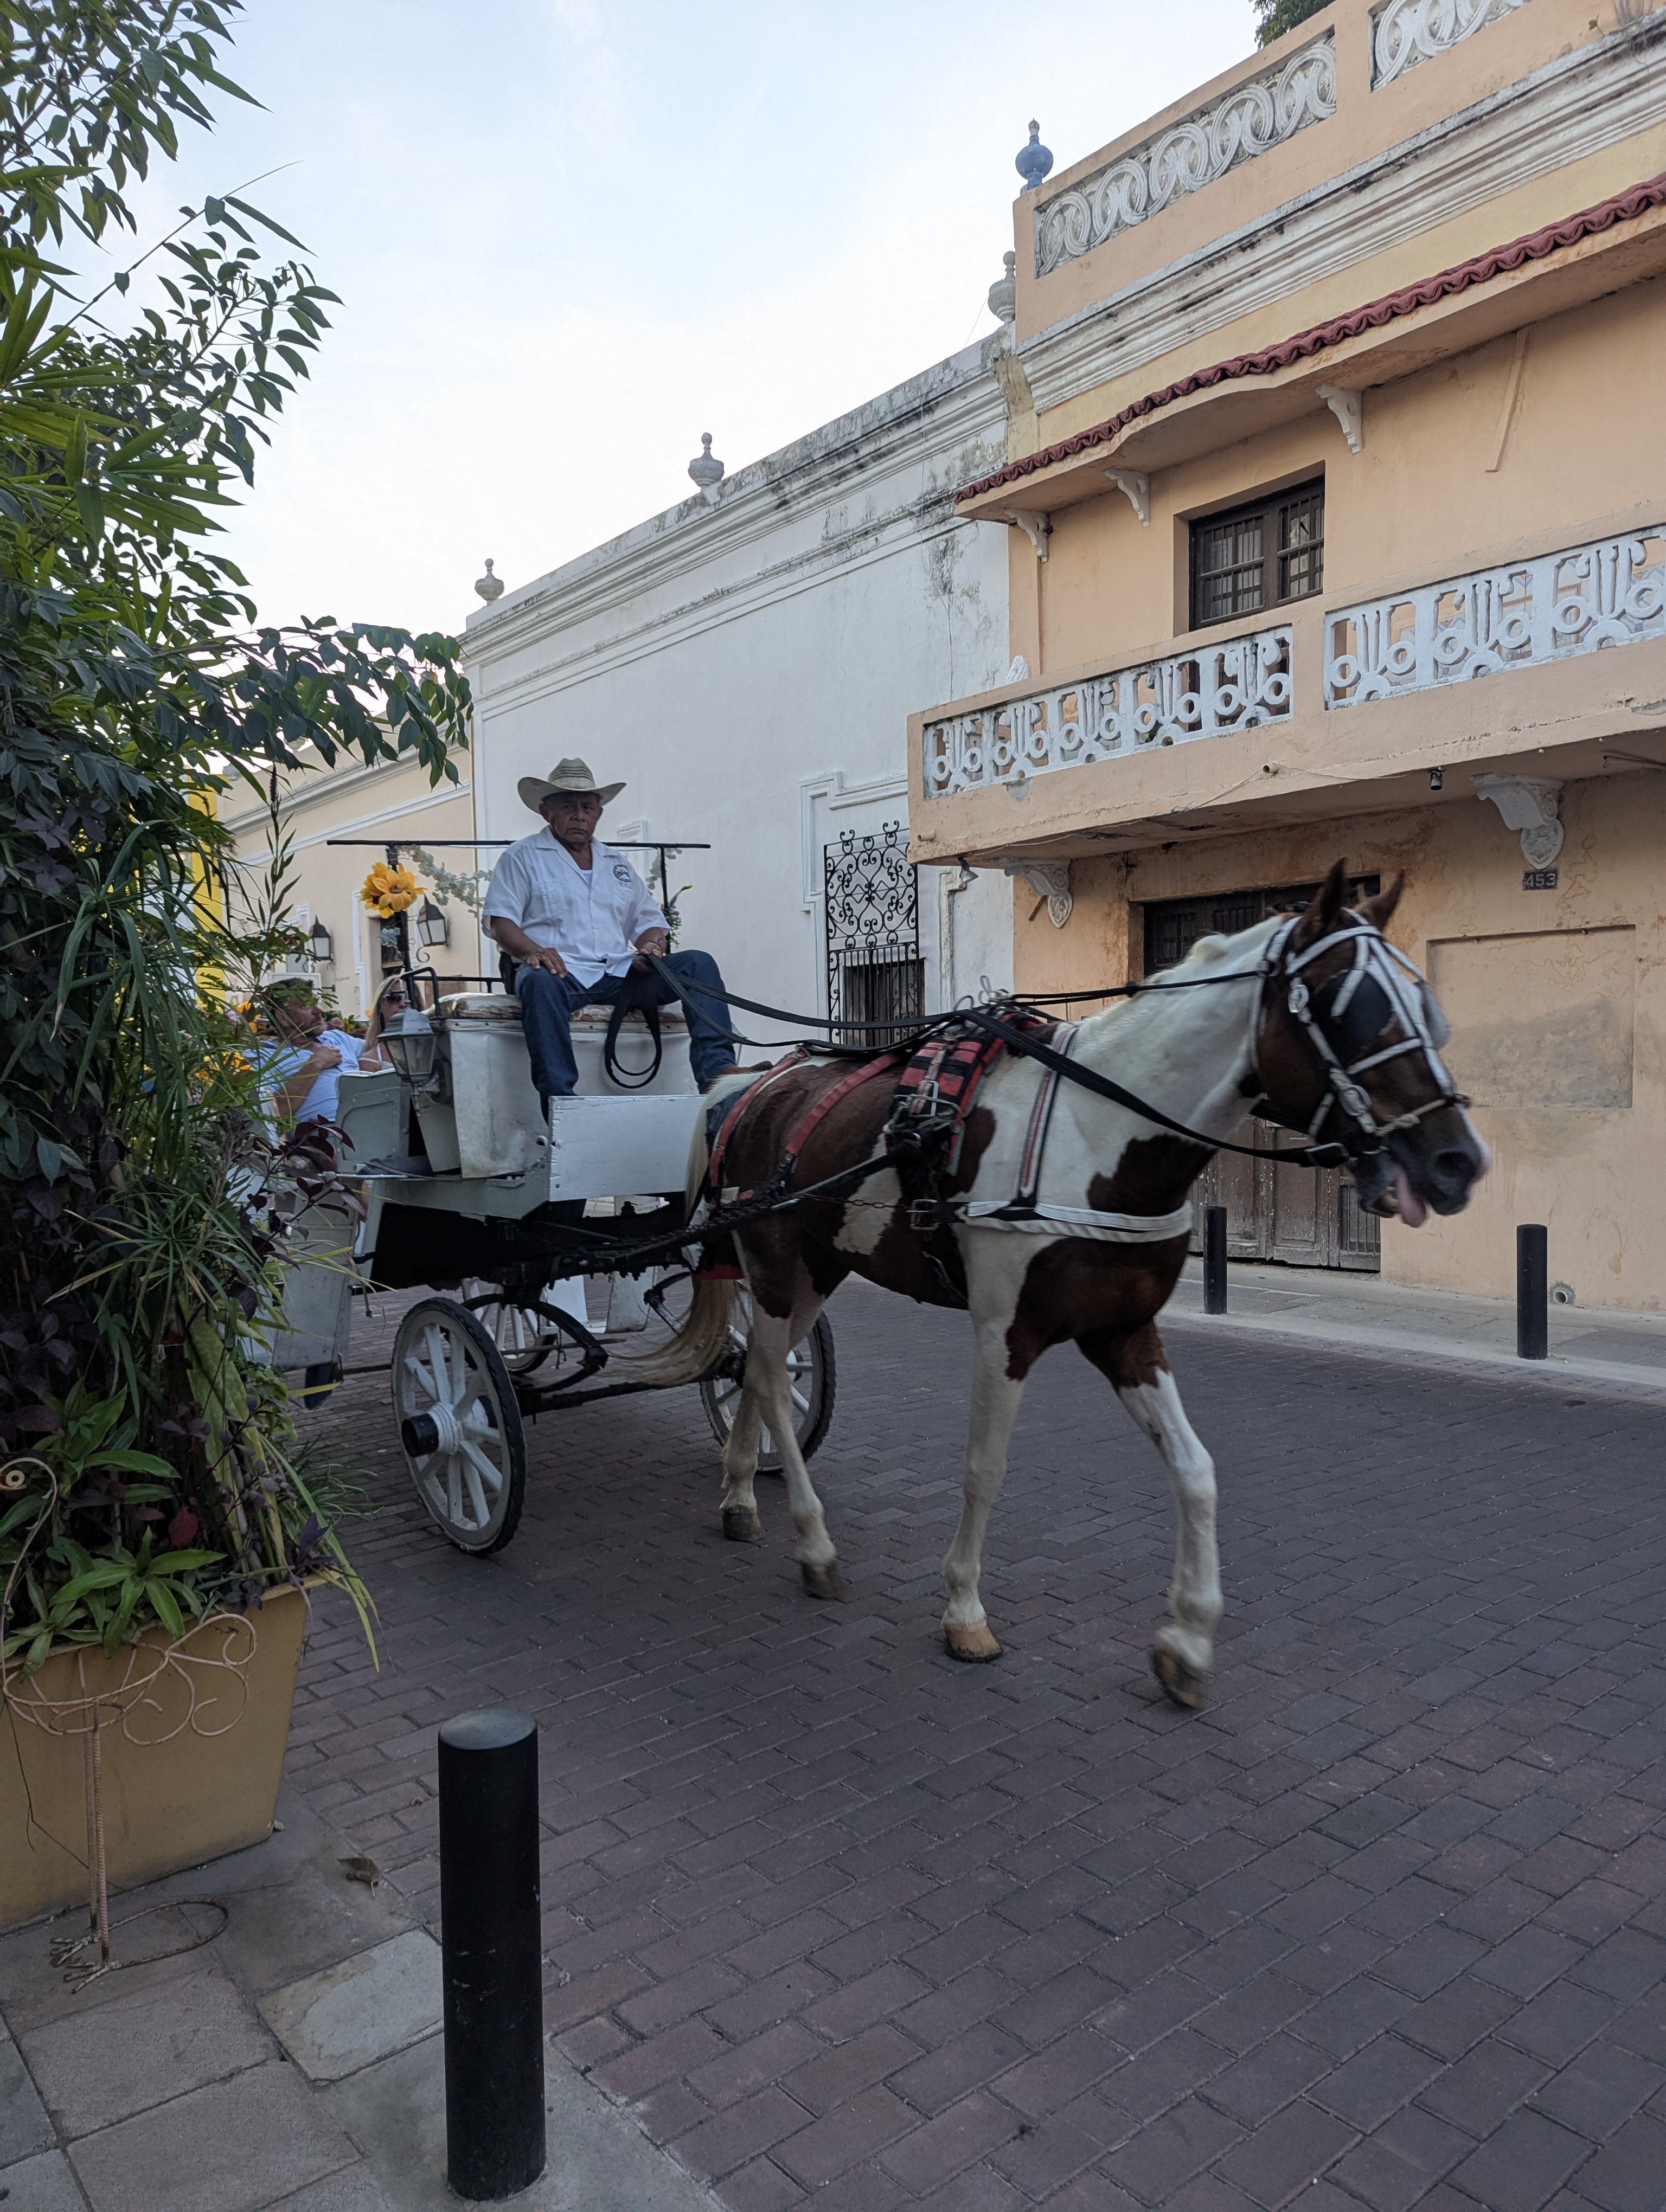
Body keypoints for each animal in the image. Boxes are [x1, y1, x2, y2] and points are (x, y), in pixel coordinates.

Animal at [634, 862, 1487, 1708]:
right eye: (1356, 1009)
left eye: (1426, 1004)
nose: (1460, 1161)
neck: (1099, 1136)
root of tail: (750, 1083)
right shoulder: (1004, 1333)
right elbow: (984, 1469)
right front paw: (964, 1608)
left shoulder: (1125, 1332)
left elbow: (1197, 1471)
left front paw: (1188, 1636)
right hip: (779, 1263)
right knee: (774, 1381)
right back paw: (813, 1542)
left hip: (822, 1265)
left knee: (756, 1368)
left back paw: (741, 1495)